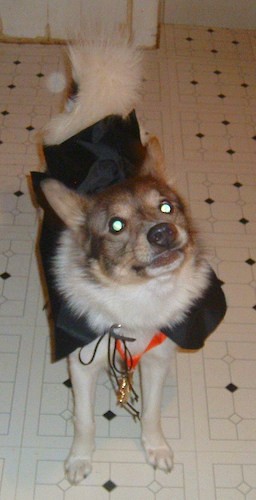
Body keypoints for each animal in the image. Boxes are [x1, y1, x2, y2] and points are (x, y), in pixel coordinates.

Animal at [31, 31, 225, 484]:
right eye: (116, 225)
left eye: (167, 207)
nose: (162, 233)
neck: (136, 299)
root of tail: (94, 115)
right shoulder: (82, 363)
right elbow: (85, 421)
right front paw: (80, 459)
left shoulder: (157, 358)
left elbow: (151, 413)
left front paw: (155, 448)